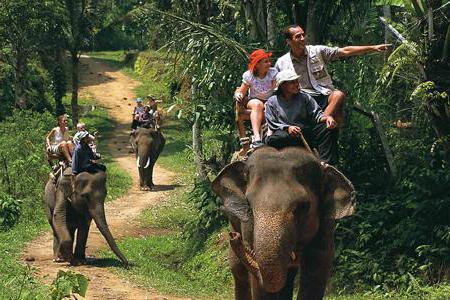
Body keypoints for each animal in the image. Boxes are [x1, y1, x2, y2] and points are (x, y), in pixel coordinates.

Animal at [213, 146, 356, 298]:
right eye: (249, 206)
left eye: (302, 207)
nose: (234, 237)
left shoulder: (326, 224)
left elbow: (316, 264)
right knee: (239, 272)